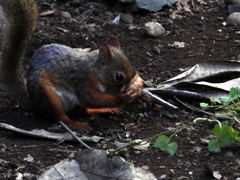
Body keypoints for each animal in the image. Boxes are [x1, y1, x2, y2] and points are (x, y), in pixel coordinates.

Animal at [0, 0, 142, 130]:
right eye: (119, 76)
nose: (123, 89)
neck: (95, 70)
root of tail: (35, 103)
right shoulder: (84, 81)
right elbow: (92, 98)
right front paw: (123, 97)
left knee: (84, 110)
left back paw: (102, 110)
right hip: (48, 95)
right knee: (60, 116)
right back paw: (73, 123)